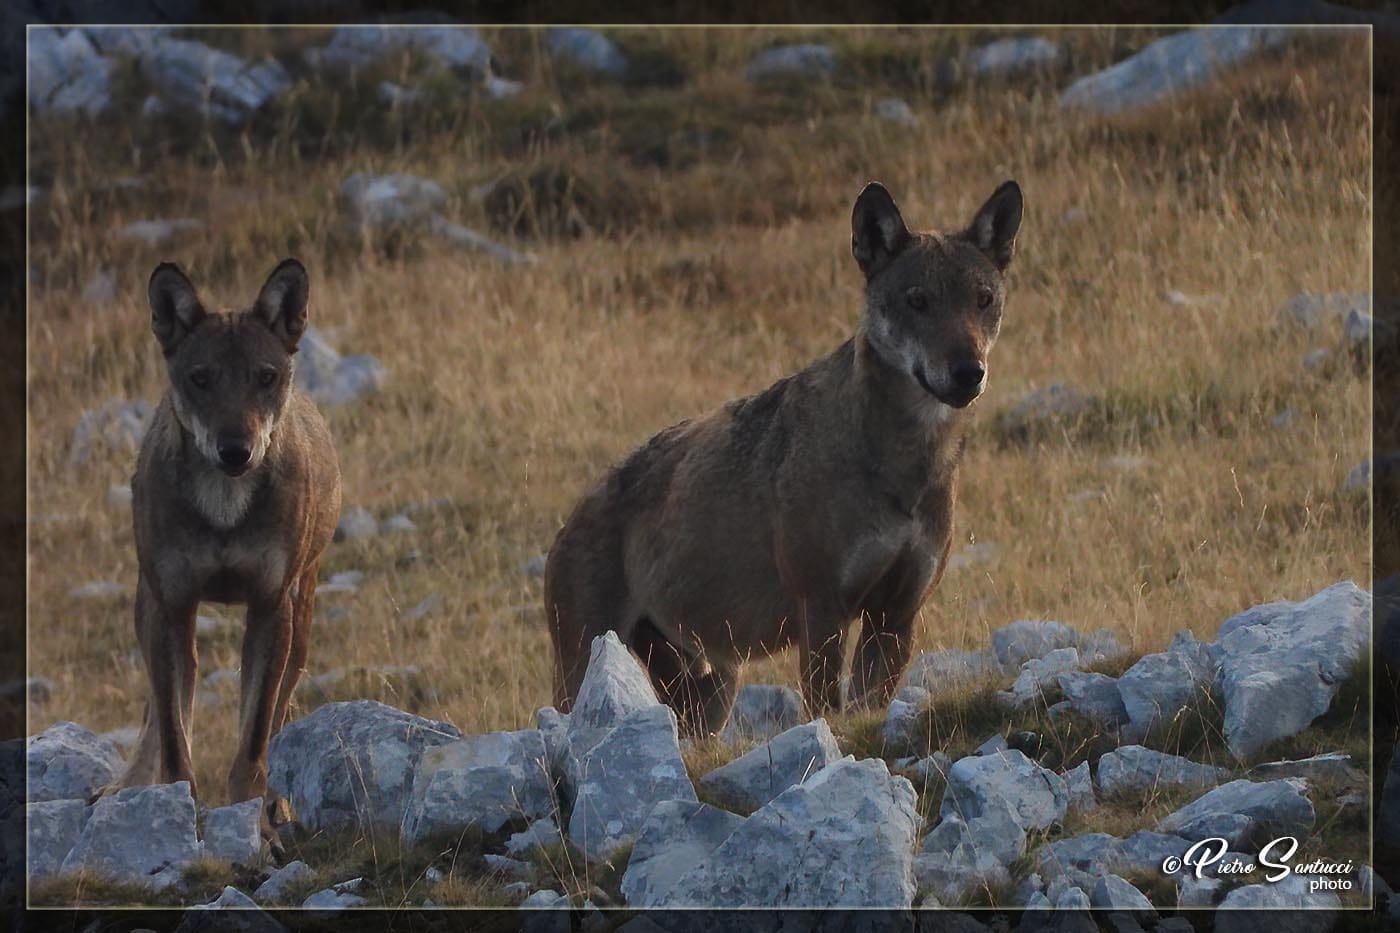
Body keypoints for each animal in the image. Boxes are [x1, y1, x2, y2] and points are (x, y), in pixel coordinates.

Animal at [102, 256, 343, 851]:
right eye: (200, 378)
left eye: (265, 376)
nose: (236, 450)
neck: (225, 508)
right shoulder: (172, 608)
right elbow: (174, 739)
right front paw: (177, 816)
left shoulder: (270, 608)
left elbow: (253, 738)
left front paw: (258, 825)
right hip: (150, 612)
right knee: (157, 708)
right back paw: (122, 788)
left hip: (301, 621)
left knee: (280, 712)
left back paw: (279, 803)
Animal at [543, 179, 1019, 734]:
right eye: (918, 301)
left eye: (983, 300)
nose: (969, 372)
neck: (902, 467)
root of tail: (567, 522)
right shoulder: (822, 610)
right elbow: (824, 706)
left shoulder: (896, 615)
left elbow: (868, 703)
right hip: (584, 673)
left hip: (715, 690)